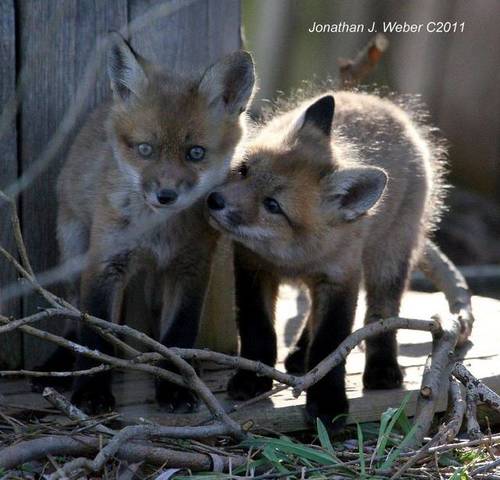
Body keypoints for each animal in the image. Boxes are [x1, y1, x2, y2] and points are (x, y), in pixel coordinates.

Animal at [39, 33, 255, 414]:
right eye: (145, 149)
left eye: (195, 153)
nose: (165, 195)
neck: (157, 234)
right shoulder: (104, 263)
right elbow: (95, 336)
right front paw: (90, 392)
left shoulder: (191, 268)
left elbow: (179, 334)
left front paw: (177, 386)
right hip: (74, 250)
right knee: (74, 318)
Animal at [206, 91, 446, 429]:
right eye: (243, 170)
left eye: (273, 205)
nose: (214, 200)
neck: (292, 257)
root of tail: (379, 102)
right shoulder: (253, 267)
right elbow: (258, 329)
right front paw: (252, 378)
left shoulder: (340, 278)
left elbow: (330, 343)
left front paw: (328, 401)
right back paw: (299, 354)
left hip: (389, 257)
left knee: (381, 313)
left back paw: (382, 366)